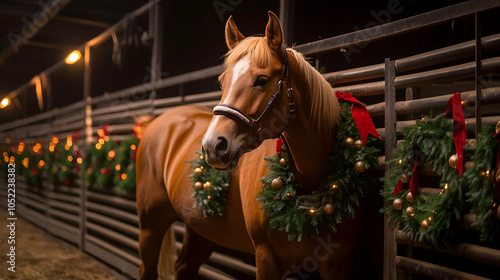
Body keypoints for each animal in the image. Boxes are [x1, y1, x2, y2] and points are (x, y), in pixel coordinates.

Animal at [137, 11, 364, 280]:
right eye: (222, 81)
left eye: (262, 80)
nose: (213, 145)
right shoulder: (266, 258)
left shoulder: (339, 265)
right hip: (151, 225)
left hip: (199, 230)